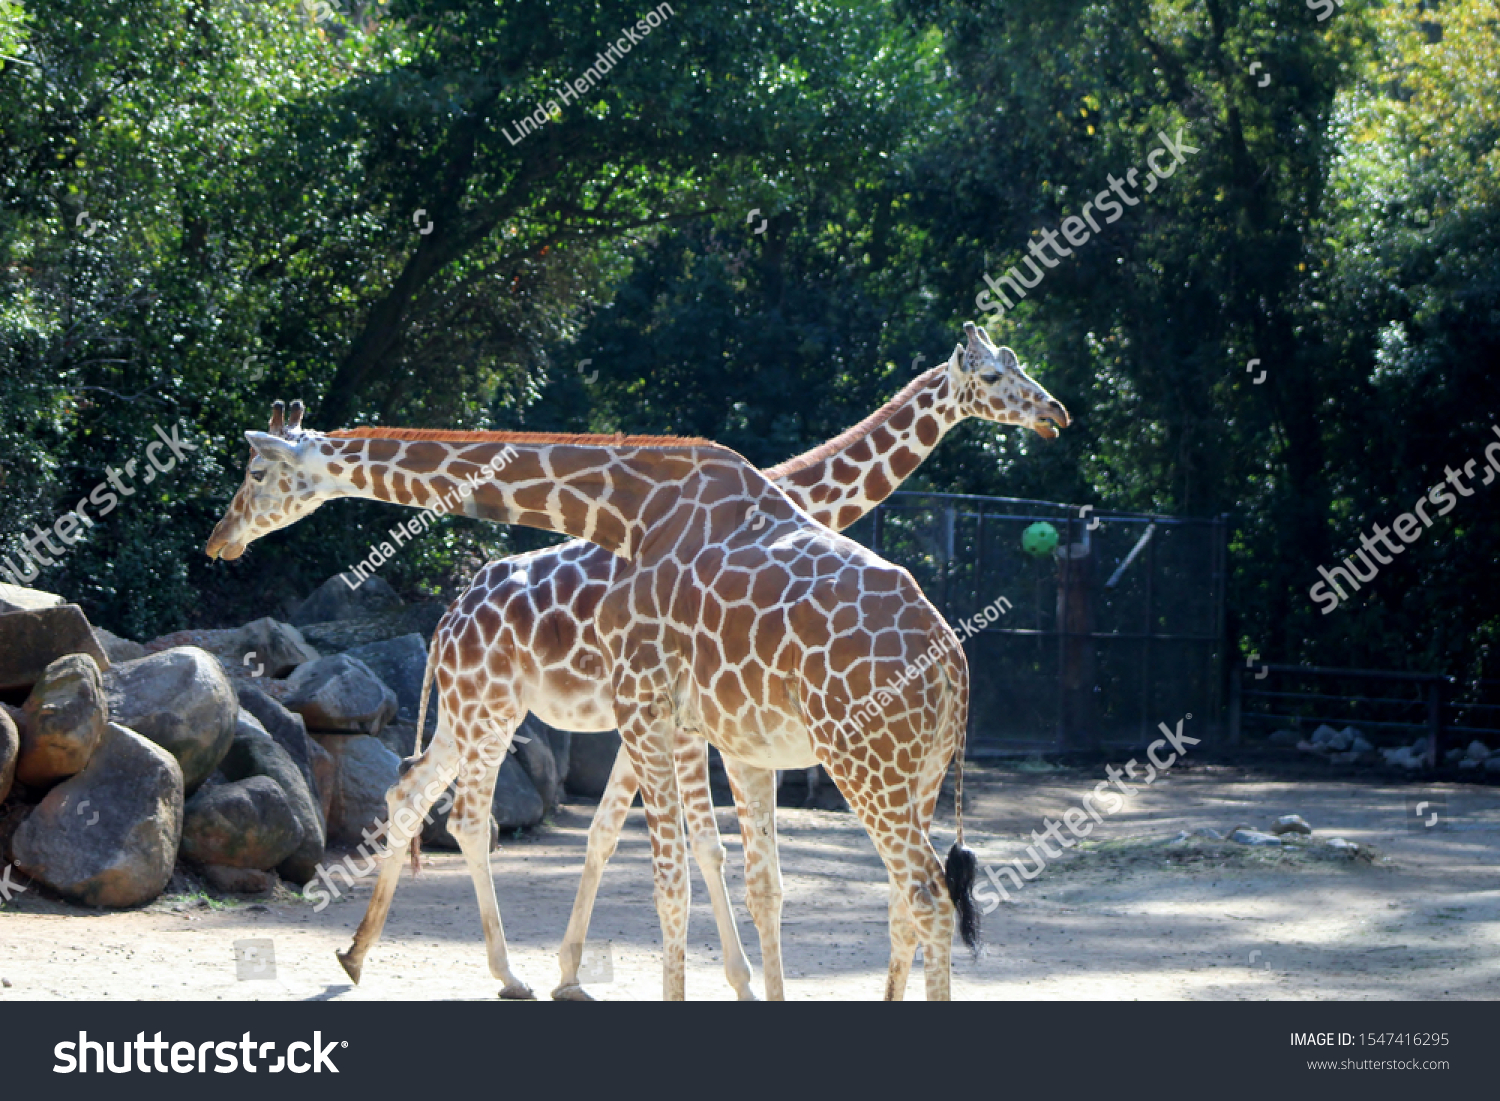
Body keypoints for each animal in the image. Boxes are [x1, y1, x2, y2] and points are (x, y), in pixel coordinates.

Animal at [205, 321, 1068, 1002]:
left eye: (256, 470)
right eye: (998, 373)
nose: (222, 538)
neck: (631, 507)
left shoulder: (664, 717)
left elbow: (671, 866)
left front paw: (622, 976)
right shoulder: (695, 728)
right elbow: (714, 869)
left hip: (861, 761)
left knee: (921, 893)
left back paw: (441, 965)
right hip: (491, 704)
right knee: (438, 798)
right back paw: (385, 958)